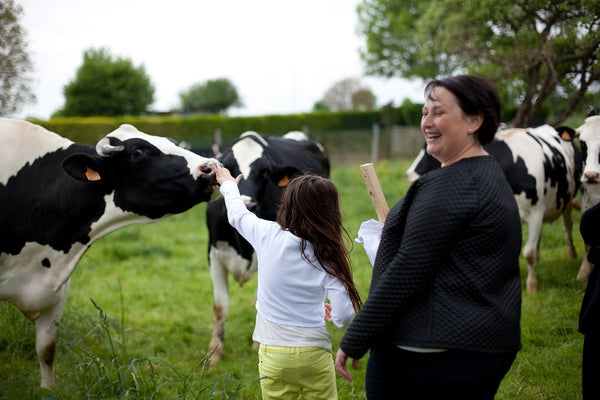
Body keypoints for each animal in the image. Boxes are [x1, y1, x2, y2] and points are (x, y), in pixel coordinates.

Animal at [205, 131, 328, 366]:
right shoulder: (213, 253)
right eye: (228, 167)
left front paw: (258, 343)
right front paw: (214, 352)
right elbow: (219, 306)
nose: (246, 204)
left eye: (265, 172)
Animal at [404, 125, 580, 294]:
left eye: (430, 152)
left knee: (568, 226)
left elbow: (528, 253)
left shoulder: (535, 212)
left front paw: (531, 286)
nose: (408, 175)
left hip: (567, 200)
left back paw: (572, 254)